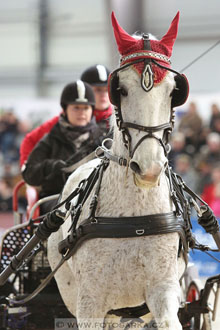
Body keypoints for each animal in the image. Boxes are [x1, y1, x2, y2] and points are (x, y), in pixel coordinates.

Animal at [47, 11, 189, 328]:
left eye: (174, 91)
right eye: (120, 89)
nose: (149, 168)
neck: (135, 218)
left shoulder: (163, 290)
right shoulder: (89, 302)